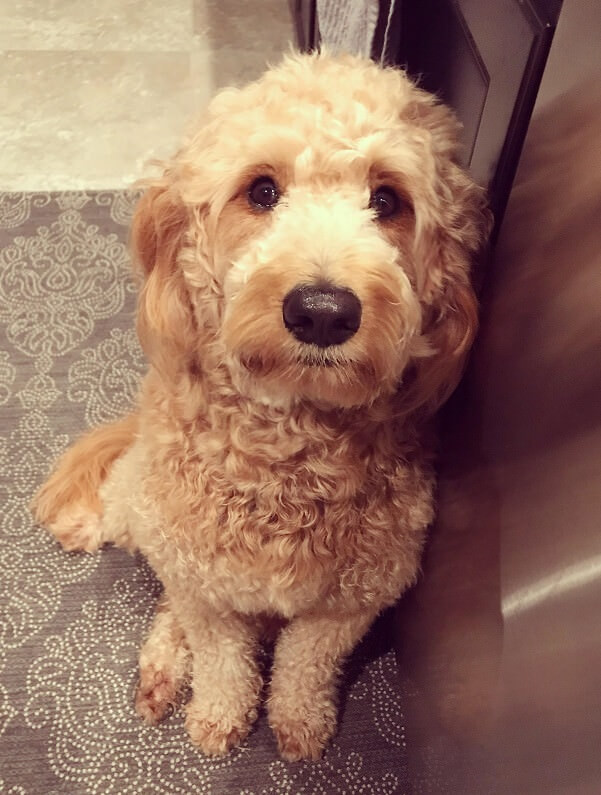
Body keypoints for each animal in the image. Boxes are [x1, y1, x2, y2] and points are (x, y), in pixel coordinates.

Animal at [32, 52, 490, 760]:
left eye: (387, 200)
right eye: (262, 191)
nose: (323, 311)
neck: (288, 455)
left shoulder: (352, 599)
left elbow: (306, 664)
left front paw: (299, 722)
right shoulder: (204, 586)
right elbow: (222, 658)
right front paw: (221, 715)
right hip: (150, 522)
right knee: (169, 603)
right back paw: (164, 666)